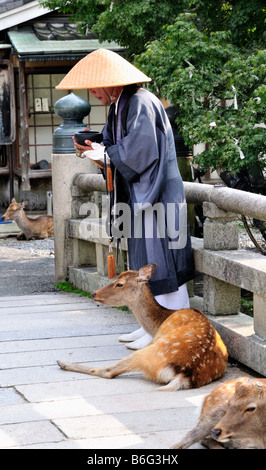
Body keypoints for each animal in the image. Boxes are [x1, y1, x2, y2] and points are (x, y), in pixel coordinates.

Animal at [57, 262, 228, 392]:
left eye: (120, 284)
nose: (94, 294)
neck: (160, 320)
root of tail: (184, 375)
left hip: (147, 352)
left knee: (107, 371)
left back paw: (63, 363)